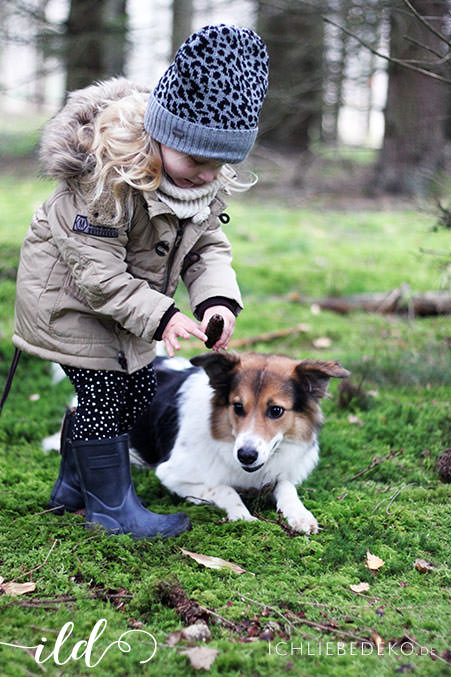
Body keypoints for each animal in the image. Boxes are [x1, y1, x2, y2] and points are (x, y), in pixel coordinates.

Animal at [129, 354, 352, 532]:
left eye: (276, 410)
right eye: (237, 406)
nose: (246, 455)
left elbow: (286, 486)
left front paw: (300, 514)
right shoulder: (172, 475)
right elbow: (223, 488)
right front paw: (243, 515)